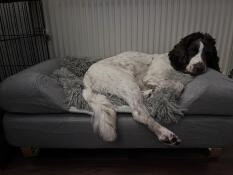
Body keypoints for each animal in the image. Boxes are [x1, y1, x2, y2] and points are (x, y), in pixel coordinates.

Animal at [82, 32, 220, 145]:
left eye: (208, 54)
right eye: (192, 50)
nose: (199, 67)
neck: (178, 67)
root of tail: (86, 78)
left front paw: (157, 91)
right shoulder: (150, 77)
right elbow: (179, 85)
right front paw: (168, 91)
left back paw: (149, 93)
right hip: (127, 81)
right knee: (139, 113)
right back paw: (164, 133)